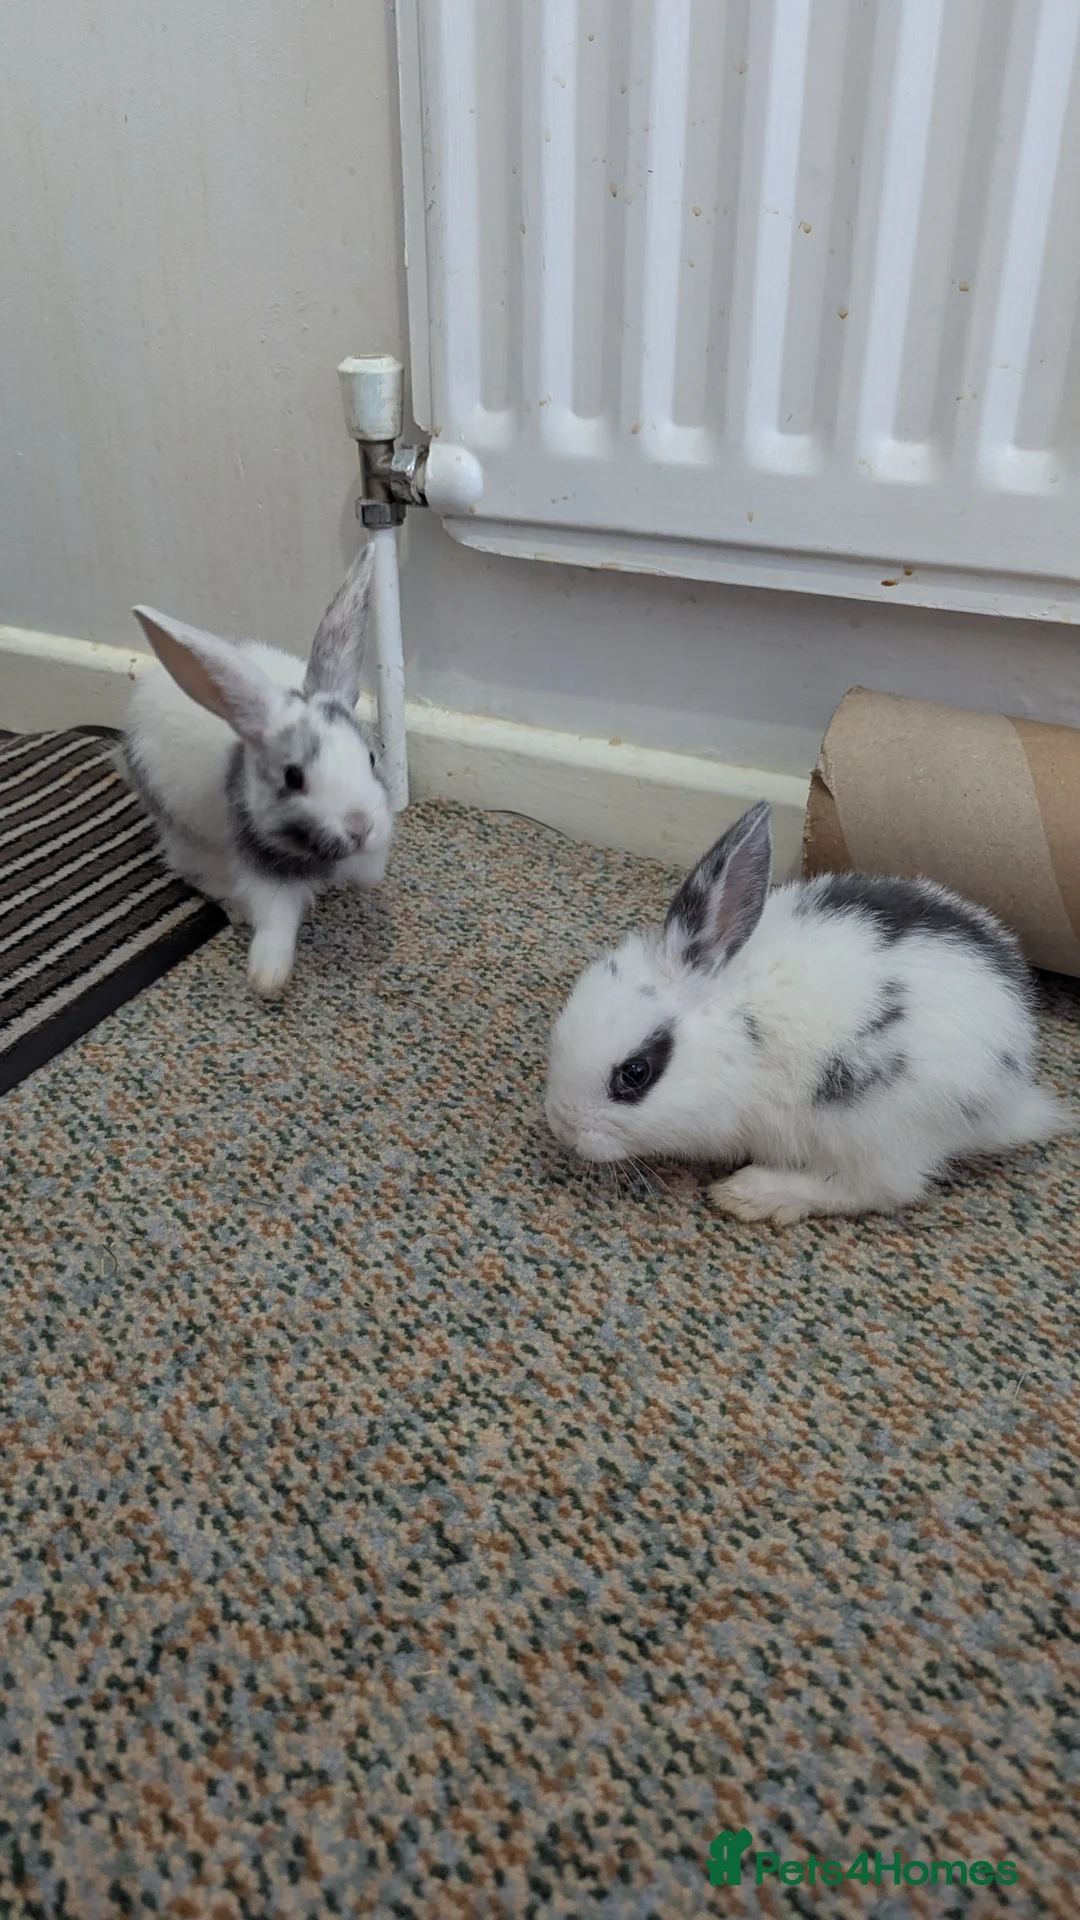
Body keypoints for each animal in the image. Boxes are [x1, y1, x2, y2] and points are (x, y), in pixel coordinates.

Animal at [120, 542, 392, 999]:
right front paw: (267, 978)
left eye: (371, 759)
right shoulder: (260, 861)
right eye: (293, 778)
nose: (359, 827)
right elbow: (275, 920)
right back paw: (235, 909)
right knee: (194, 872)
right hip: (189, 837)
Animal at [545, 799, 1072, 1222]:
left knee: (879, 1188)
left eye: (635, 1074)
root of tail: (1011, 1095)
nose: (564, 1130)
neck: (733, 1022)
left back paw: (753, 1194)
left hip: (876, 1126)